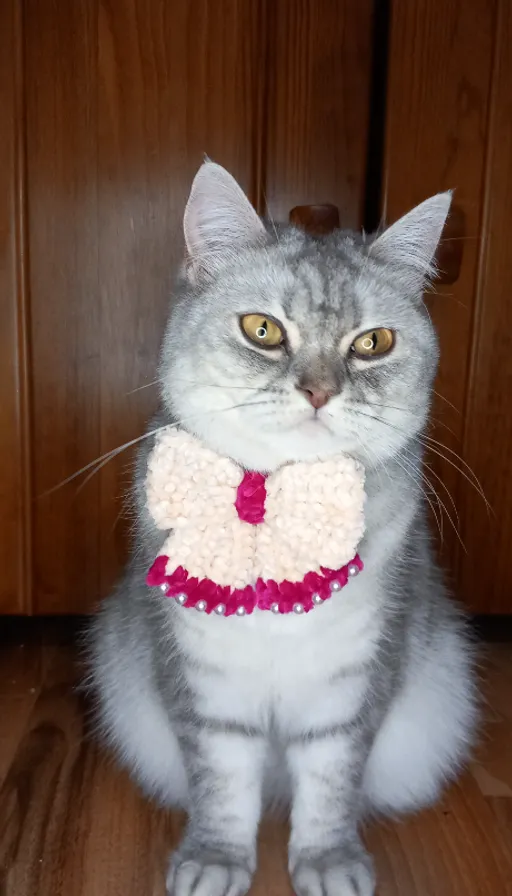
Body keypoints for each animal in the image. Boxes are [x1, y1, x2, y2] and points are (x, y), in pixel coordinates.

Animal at [88, 161, 476, 896]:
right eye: (263, 330)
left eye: (373, 343)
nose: (320, 391)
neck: (276, 509)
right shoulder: (200, 680)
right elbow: (220, 784)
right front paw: (215, 860)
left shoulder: (354, 682)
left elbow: (330, 784)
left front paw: (329, 862)